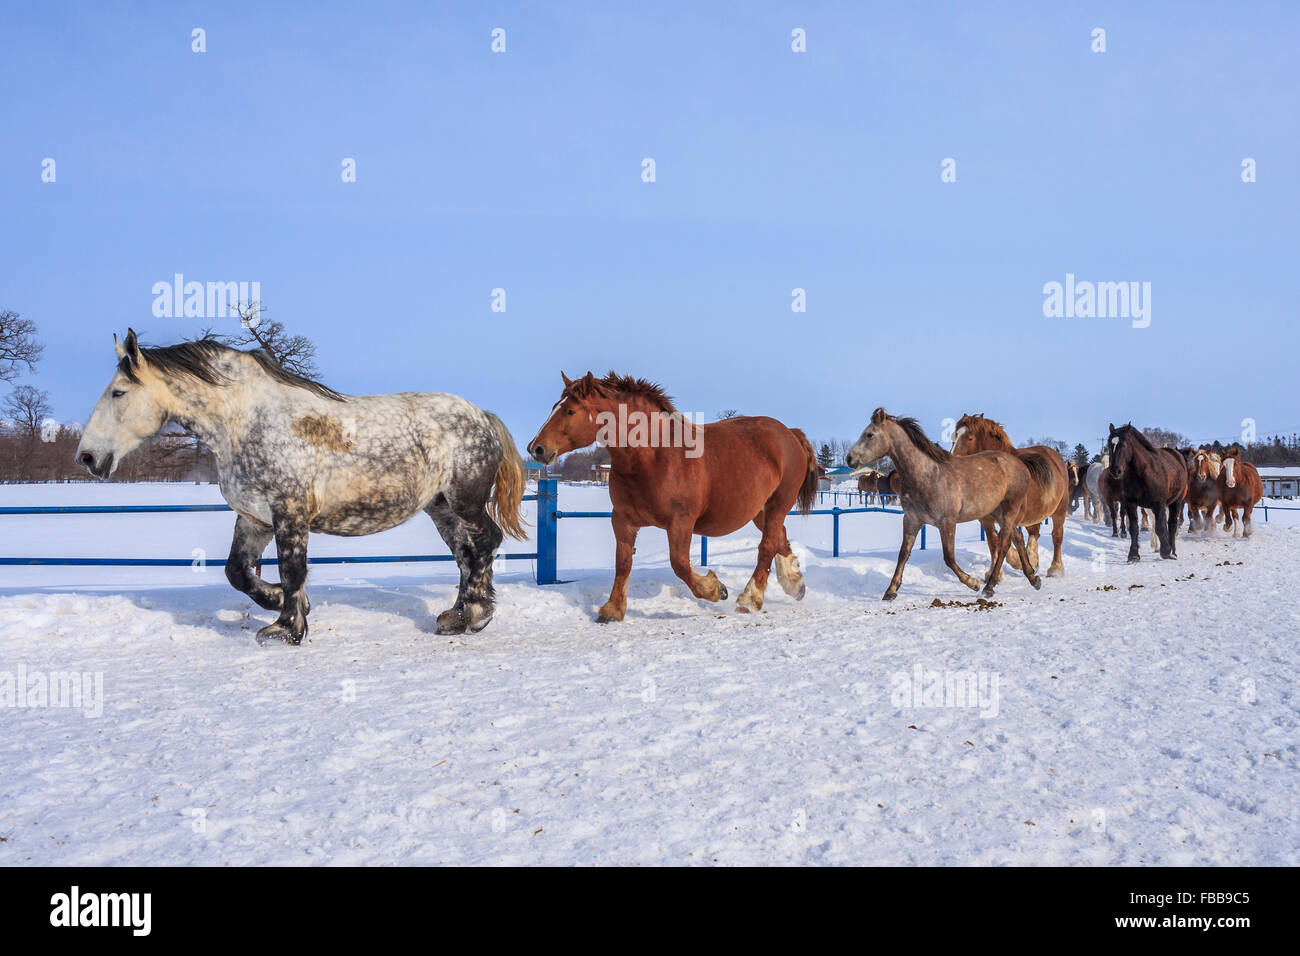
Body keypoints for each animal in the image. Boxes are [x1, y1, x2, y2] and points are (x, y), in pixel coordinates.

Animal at [525, 369, 811, 624]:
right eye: (555, 406)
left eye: (570, 411)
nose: (536, 448)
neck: (654, 456)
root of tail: (789, 433)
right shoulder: (623, 520)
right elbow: (623, 562)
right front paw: (612, 610)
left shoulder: (681, 522)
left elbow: (680, 564)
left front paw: (716, 589)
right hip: (760, 511)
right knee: (779, 538)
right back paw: (794, 584)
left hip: (778, 504)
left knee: (767, 546)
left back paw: (750, 599)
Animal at [842, 408, 1045, 600]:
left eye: (869, 434)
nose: (849, 458)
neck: (927, 475)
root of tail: (1020, 464)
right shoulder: (911, 521)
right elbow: (903, 554)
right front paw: (891, 591)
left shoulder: (947, 522)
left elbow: (949, 557)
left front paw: (973, 583)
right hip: (997, 512)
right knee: (1017, 537)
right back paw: (1033, 578)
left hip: (1010, 510)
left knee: (1003, 544)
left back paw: (989, 587)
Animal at [946, 413, 1066, 580]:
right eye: (953, 437)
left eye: (970, 438)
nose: (952, 461)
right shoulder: (986, 520)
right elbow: (993, 541)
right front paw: (995, 572)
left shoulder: (1011, 516)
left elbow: (1005, 539)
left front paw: (1017, 563)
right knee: (1034, 532)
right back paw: (1032, 561)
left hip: (1060, 510)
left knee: (1057, 536)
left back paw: (1055, 569)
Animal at [1107, 424, 1190, 561]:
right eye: (1109, 445)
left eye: (1123, 445)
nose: (1115, 471)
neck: (1143, 473)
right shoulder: (1130, 503)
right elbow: (1134, 528)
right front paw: (1133, 555)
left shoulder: (1159, 504)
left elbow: (1160, 527)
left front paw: (1165, 551)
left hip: (1176, 502)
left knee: (1172, 524)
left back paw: (1173, 551)